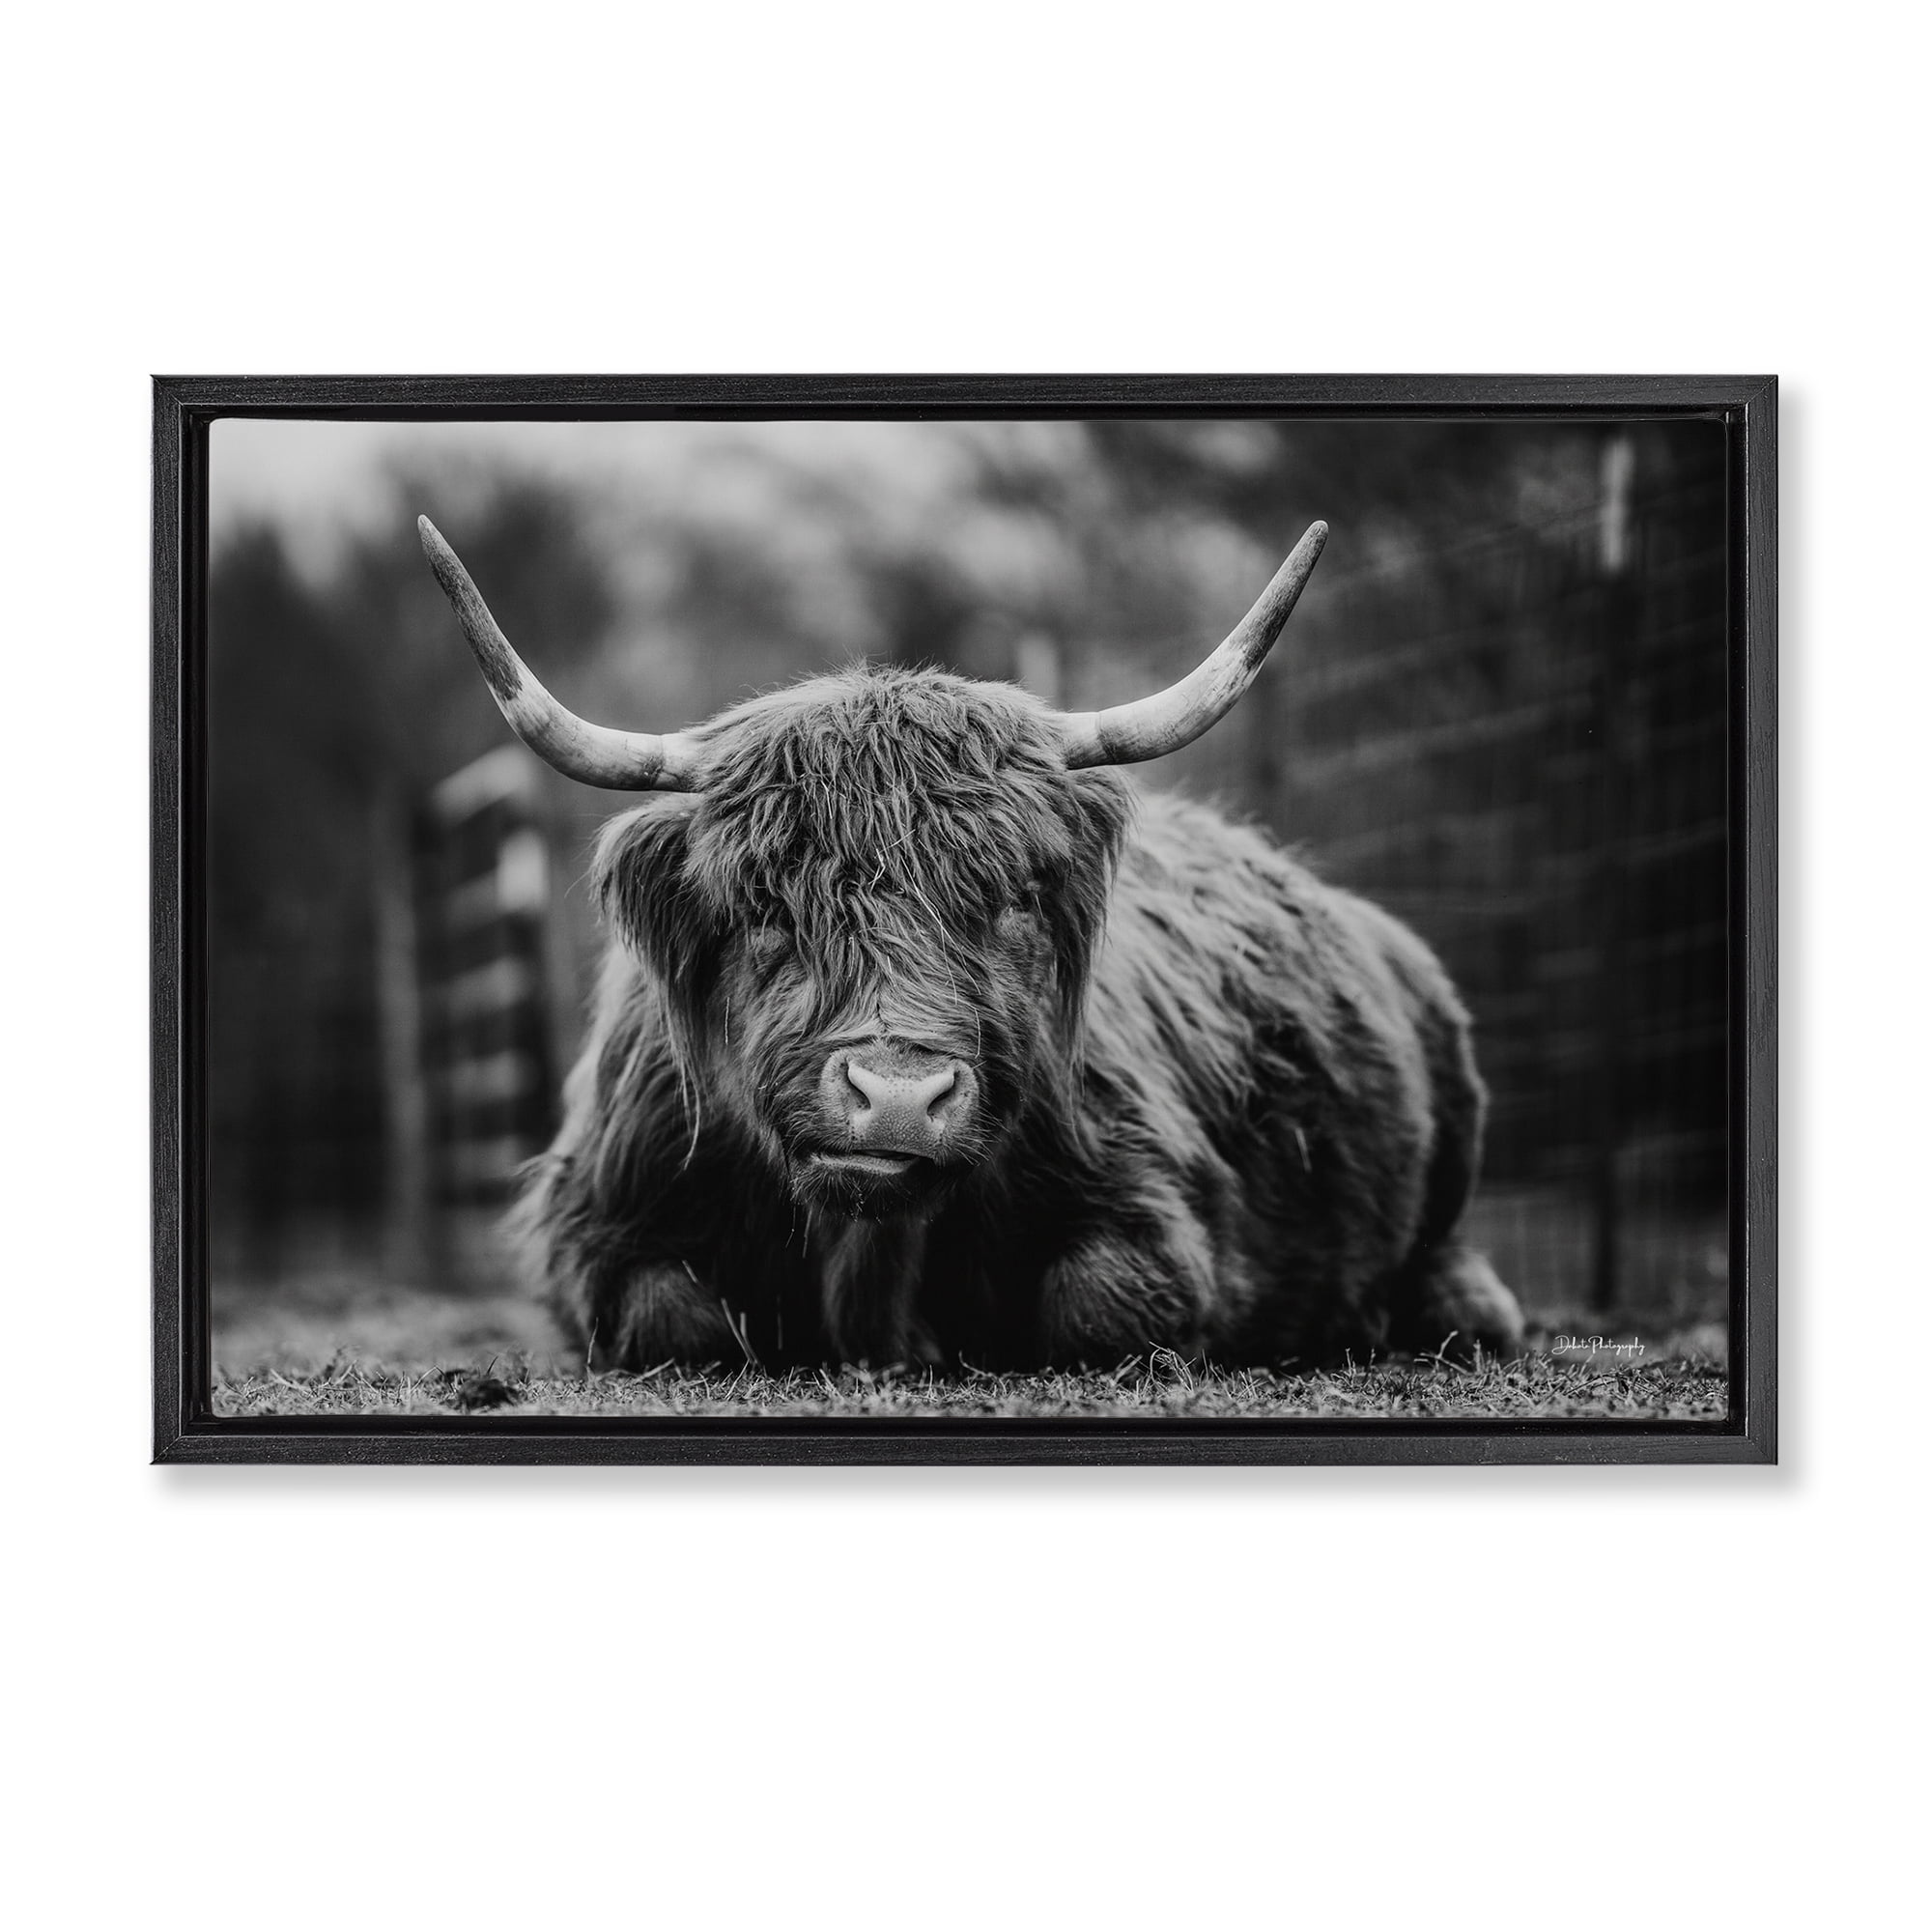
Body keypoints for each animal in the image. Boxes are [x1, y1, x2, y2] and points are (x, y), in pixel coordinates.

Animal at [419, 513, 1525, 1371]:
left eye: (1012, 900)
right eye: (767, 905)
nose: (899, 1097)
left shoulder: (1155, 1211)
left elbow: (1099, 1304)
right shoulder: (596, 1227)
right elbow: (669, 1319)